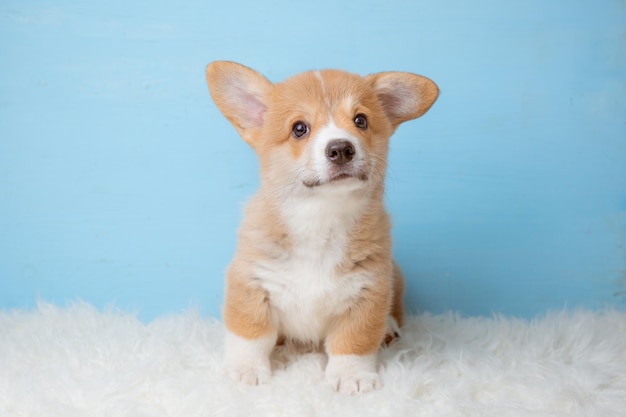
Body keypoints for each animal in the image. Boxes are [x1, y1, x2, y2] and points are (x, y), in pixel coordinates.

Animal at [206, 61, 438, 394]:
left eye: (361, 120)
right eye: (299, 128)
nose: (341, 148)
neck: (321, 216)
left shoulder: (369, 291)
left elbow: (354, 342)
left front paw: (352, 376)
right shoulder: (250, 283)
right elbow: (250, 333)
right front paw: (245, 370)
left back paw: (389, 329)